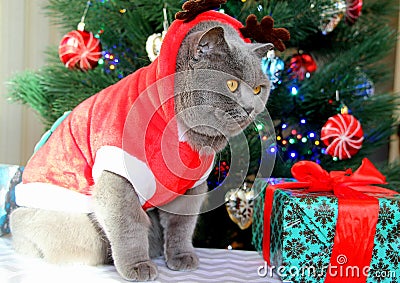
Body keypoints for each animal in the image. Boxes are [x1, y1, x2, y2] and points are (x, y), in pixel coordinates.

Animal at [9, 10, 272, 282]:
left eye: (258, 89)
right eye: (231, 85)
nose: (251, 108)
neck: (188, 137)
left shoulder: (191, 188)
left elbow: (182, 226)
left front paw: (181, 258)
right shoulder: (119, 177)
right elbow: (128, 224)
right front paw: (137, 267)